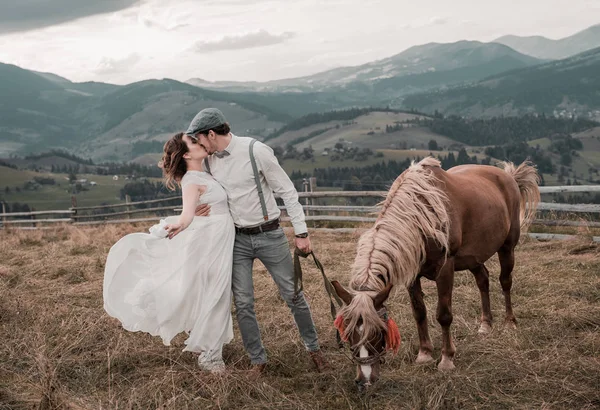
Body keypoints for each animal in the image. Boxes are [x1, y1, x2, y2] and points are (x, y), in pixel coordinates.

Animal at [330, 157, 540, 390]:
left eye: (377, 331)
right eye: (347, 332)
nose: (365, 380)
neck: (421, 216)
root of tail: (509, 177)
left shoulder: (445, 269)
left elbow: (444, 315)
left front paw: (447, 359)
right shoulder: (412, 276)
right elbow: (419, 313)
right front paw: (425, 354)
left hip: (507, 247)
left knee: (505, 282)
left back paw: (509, 322)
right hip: (474, 257)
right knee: (483, 280)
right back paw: (485, 325)